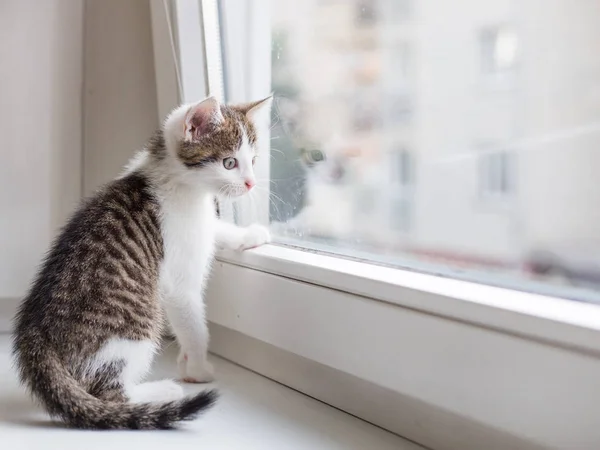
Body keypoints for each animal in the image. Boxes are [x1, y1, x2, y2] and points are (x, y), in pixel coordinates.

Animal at [13, 96, 272, 428]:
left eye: (253, 159)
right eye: (230, 162)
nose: (251, 183)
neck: (179, 182)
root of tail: (35, 337)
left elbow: (216, 228)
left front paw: (250, 235)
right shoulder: (180, 280)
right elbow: (194, 325)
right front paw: (198, 368)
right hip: (135, 327)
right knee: (110, 394)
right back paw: (162, 392)